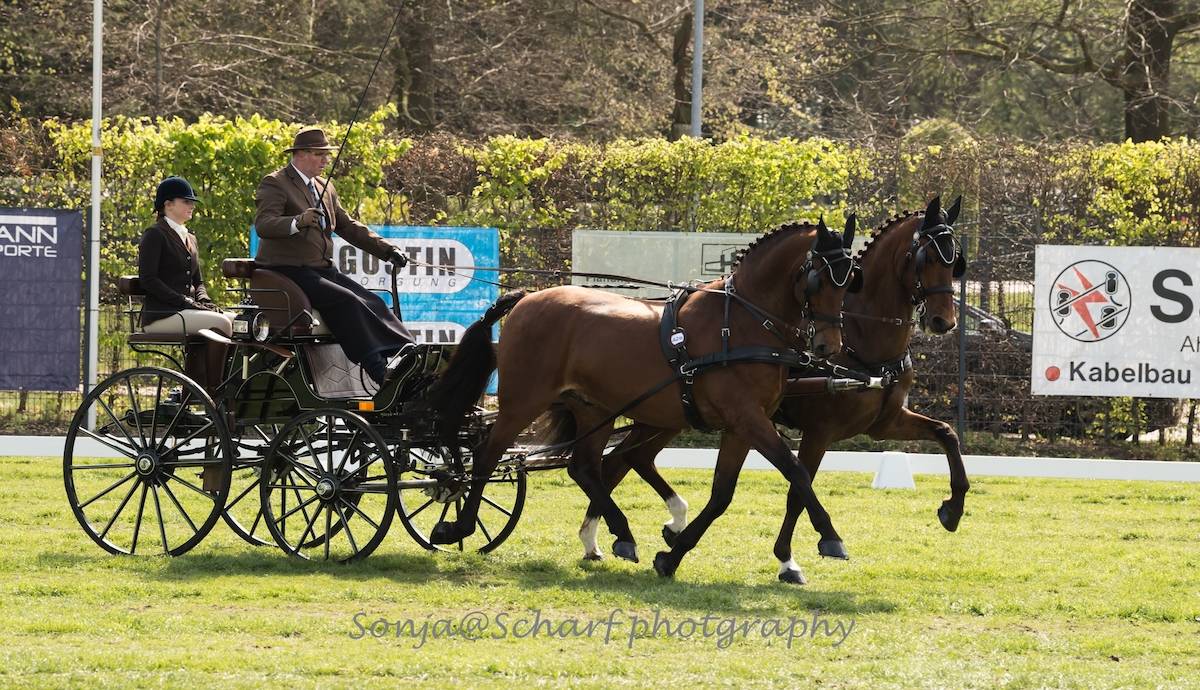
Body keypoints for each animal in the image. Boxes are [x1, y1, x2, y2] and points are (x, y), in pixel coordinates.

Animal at [427, 219, 859, 578]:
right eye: (818, 279)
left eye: (850, 280)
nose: (829, 345)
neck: (740, 325)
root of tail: (525, 300)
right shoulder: (747, 418)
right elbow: (796, 472)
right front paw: (830, 537)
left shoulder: (742, 425)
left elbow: (722, 495)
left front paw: (672, 556)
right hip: (522, 401)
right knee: (488, 455)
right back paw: (459, 526)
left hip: (593, 408)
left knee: (584, 467)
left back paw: (622, 536)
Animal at [585, 196, 969, 585]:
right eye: (927, 257)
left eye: (955, 259)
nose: (944, 321)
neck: (862, 337)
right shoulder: (818, 430)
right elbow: (798, 490)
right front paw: (796, 555)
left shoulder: (884, 422)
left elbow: (946, 433)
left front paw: (952, 509)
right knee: (614, 461)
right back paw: (610, 536)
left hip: (665, 416)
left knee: (625, 460)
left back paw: (611, 536)